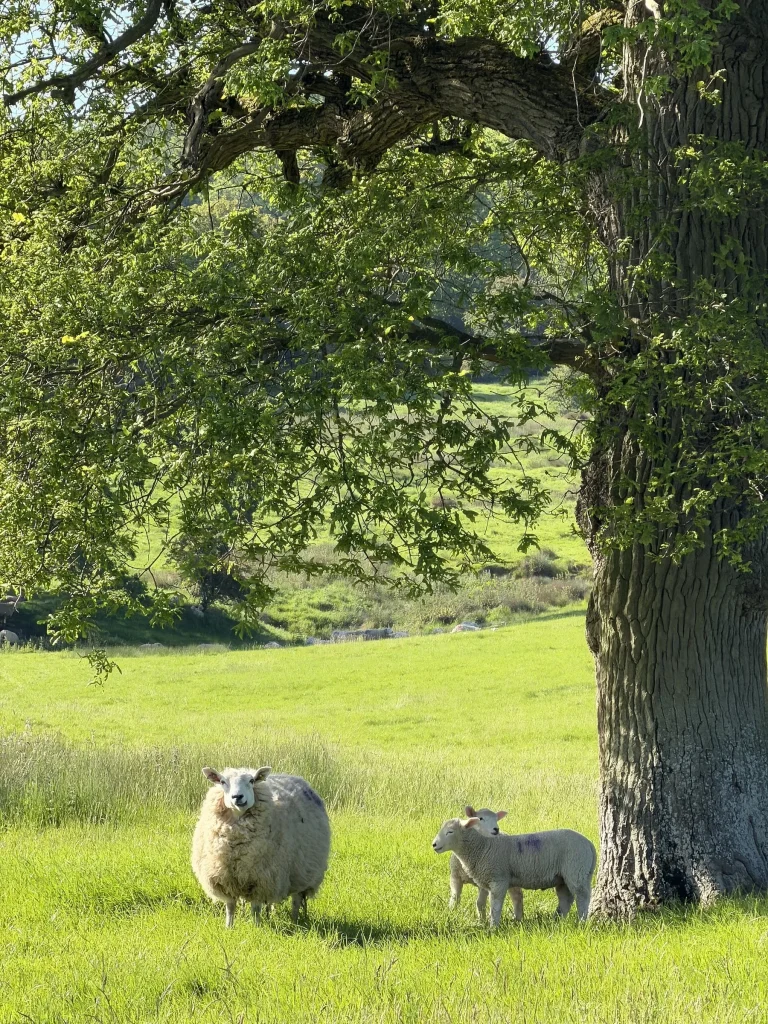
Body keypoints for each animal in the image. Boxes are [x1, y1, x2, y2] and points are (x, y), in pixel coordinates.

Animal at [191, 765, 331, 928]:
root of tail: (296, 778)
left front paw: (256, 927)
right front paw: (229, 927)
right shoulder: (226, 879)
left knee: (296, 900)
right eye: (223, 781)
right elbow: (230, 907)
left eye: (251, 781)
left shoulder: (260, 879)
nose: (237, 797)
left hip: (302, 872)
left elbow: (256, 908)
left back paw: (295, 922)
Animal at [433, 816, 596, 926]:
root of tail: (589, 844)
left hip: (576, 871)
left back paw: (582, 921)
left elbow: (495, 905)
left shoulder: (499, 880)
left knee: (582, 896)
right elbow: (486, 903)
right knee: (566, 898)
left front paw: (493, 926)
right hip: (565, 877)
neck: (483, 846)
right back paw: (559, 920)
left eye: (450, 832)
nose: (433, 844)